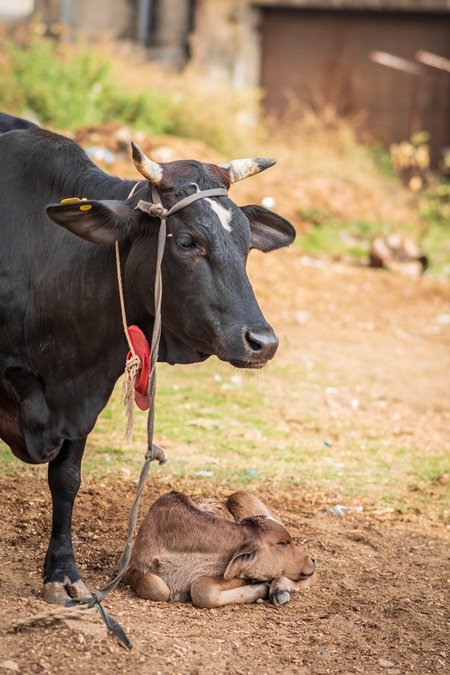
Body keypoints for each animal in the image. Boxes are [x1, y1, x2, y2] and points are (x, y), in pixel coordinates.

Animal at [0, 113, 298, 604]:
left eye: (247, 244)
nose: (264, 342)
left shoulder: (86, 392)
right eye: (187, 241)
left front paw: (62, 572)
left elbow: (67, 479)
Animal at [123, 488, 316, 608]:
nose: (311, 560)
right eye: (283, 542)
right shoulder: (129, 567)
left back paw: (280, 589)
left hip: (242, 496)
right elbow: (157, 588)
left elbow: (202, 586)